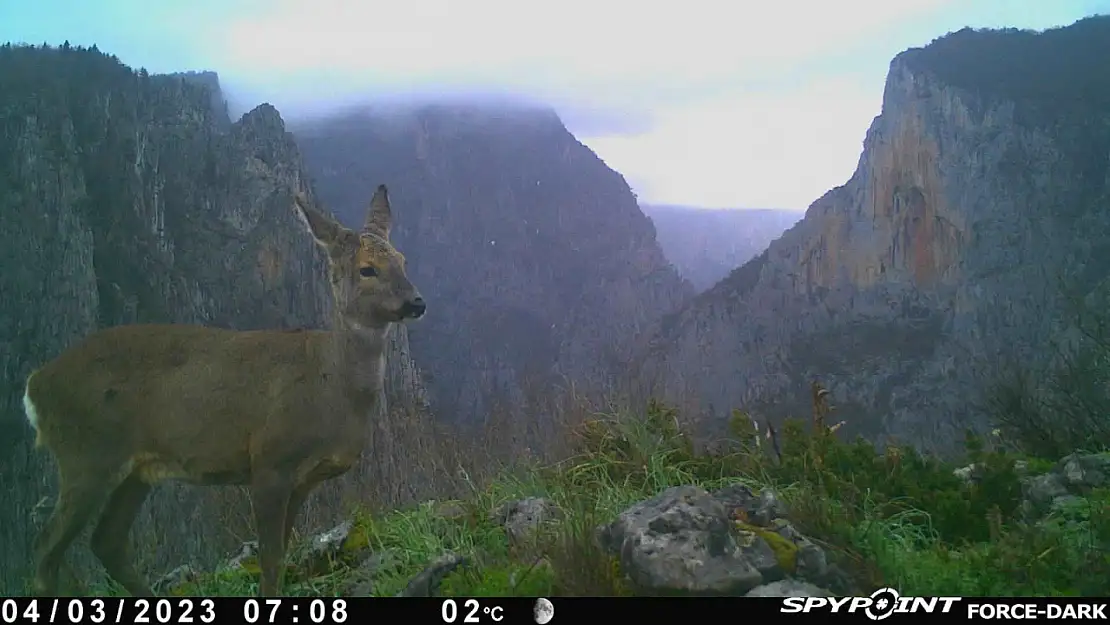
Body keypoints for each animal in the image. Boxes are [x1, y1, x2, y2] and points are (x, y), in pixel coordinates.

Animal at [27, 184, 424, 595]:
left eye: (402, 260)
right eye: (367, 268)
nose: (416, 302)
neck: (329, 384)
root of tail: (36, 384)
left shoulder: (304, 480)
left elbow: (282, 553)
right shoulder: (270, 460)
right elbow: (270, 558)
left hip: (135, 468)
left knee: (106, 541)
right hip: (86, 453)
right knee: (46, 547)